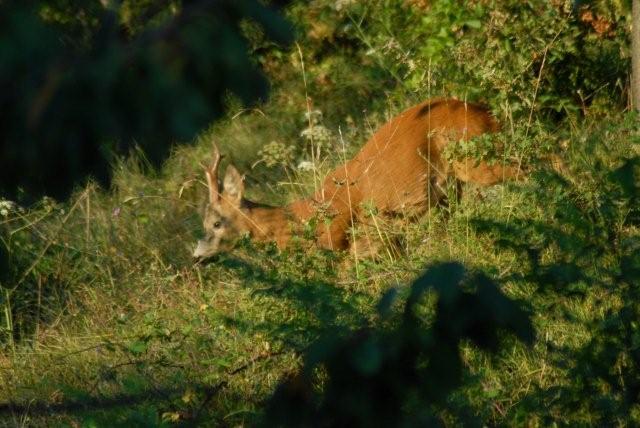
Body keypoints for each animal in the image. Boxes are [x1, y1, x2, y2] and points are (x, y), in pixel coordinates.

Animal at [191, 98, 520, 260]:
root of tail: (480, 109)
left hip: (477, 160)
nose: (196, 256)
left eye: (216, 223)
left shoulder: (349, 242)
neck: (302, 219)